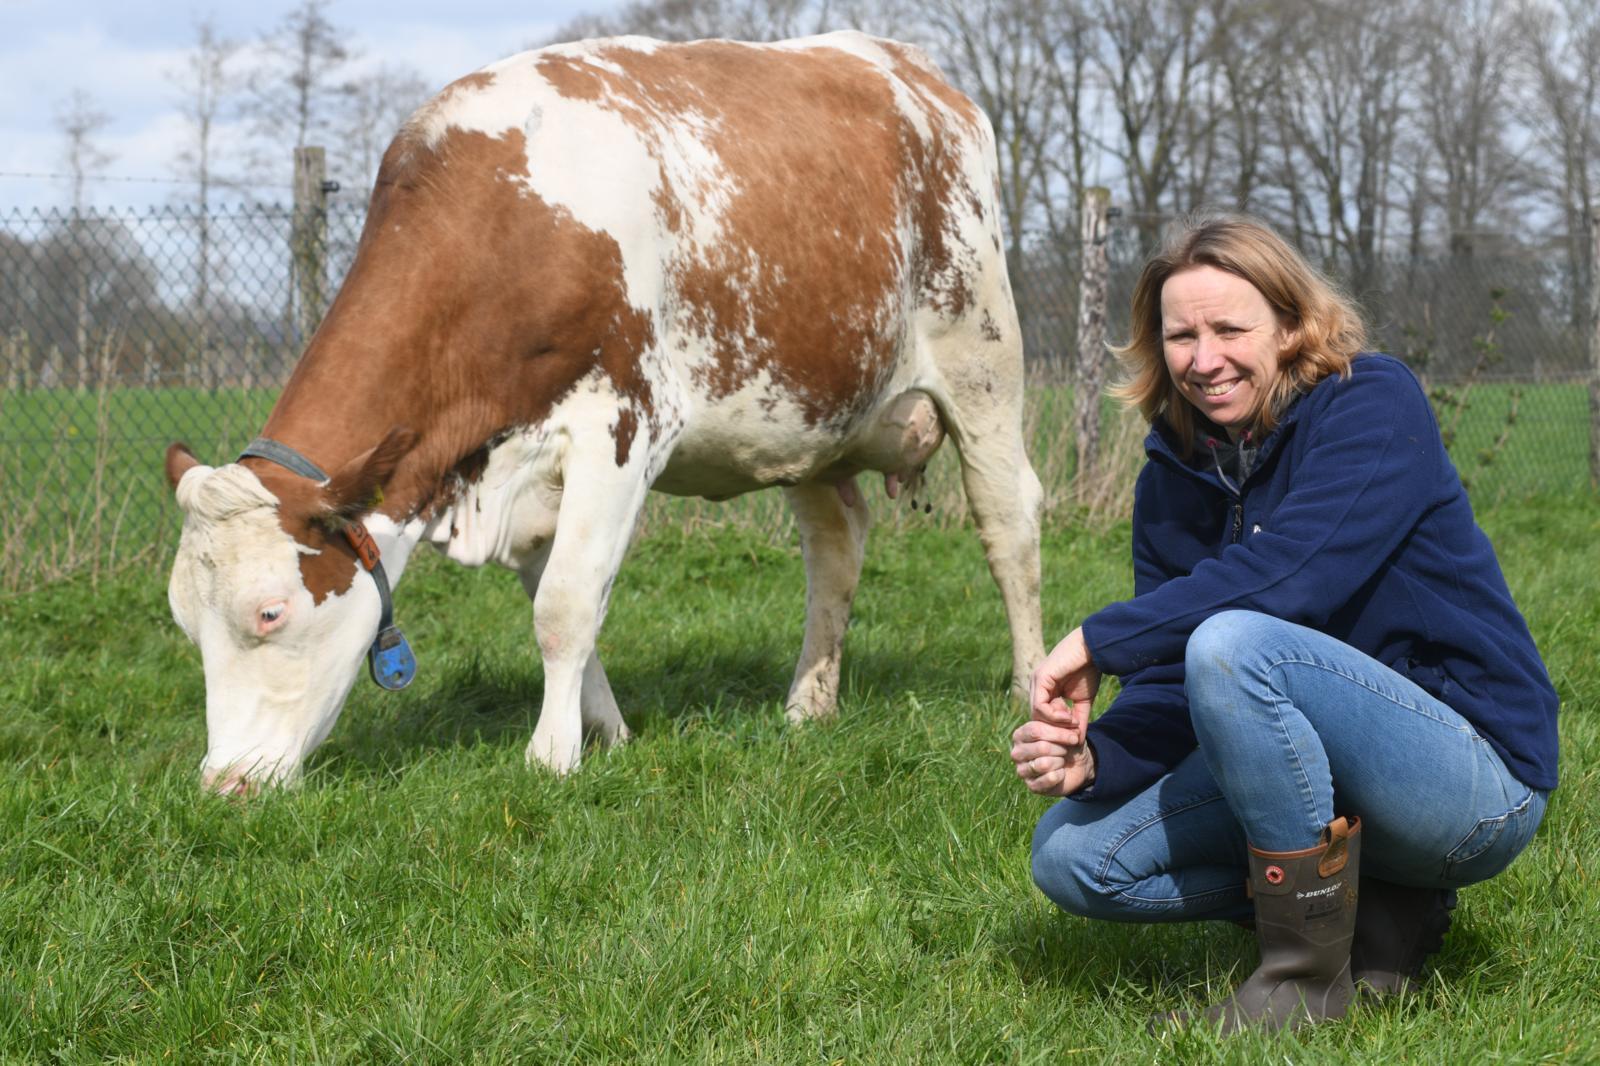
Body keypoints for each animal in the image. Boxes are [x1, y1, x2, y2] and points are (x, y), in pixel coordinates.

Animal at [165, 33, 1049, 793]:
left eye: (269, 612)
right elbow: (563, 602)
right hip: (813, 410)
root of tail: (910, 69)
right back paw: (808, 704)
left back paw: (1029, 687)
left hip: (982, 360)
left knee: (1008, 521)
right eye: (184, 623)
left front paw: (551, 756)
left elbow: (564, 604)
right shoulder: (519, 470)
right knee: (835, 546)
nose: (224, 783)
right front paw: (608, 734)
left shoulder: (622, 427)